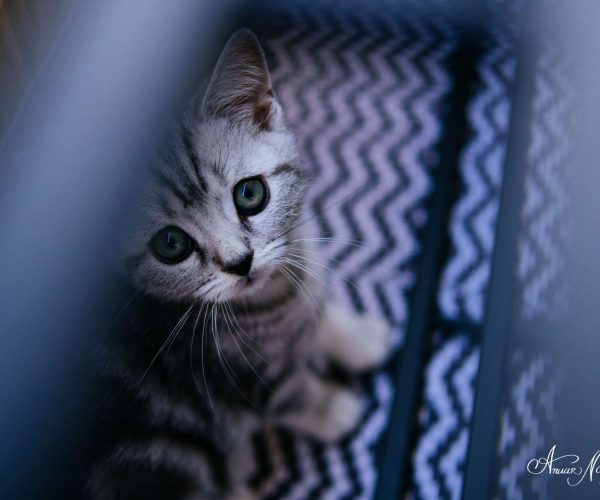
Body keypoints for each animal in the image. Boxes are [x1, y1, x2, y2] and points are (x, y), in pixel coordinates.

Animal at [86, 29, 390, 500]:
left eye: (250, 194)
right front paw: (335, 409)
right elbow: (292, 395)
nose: (239, 261)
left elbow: (319, 317)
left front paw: (357, 337)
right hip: (168, 457)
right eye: (170, 244)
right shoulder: (243, 380)